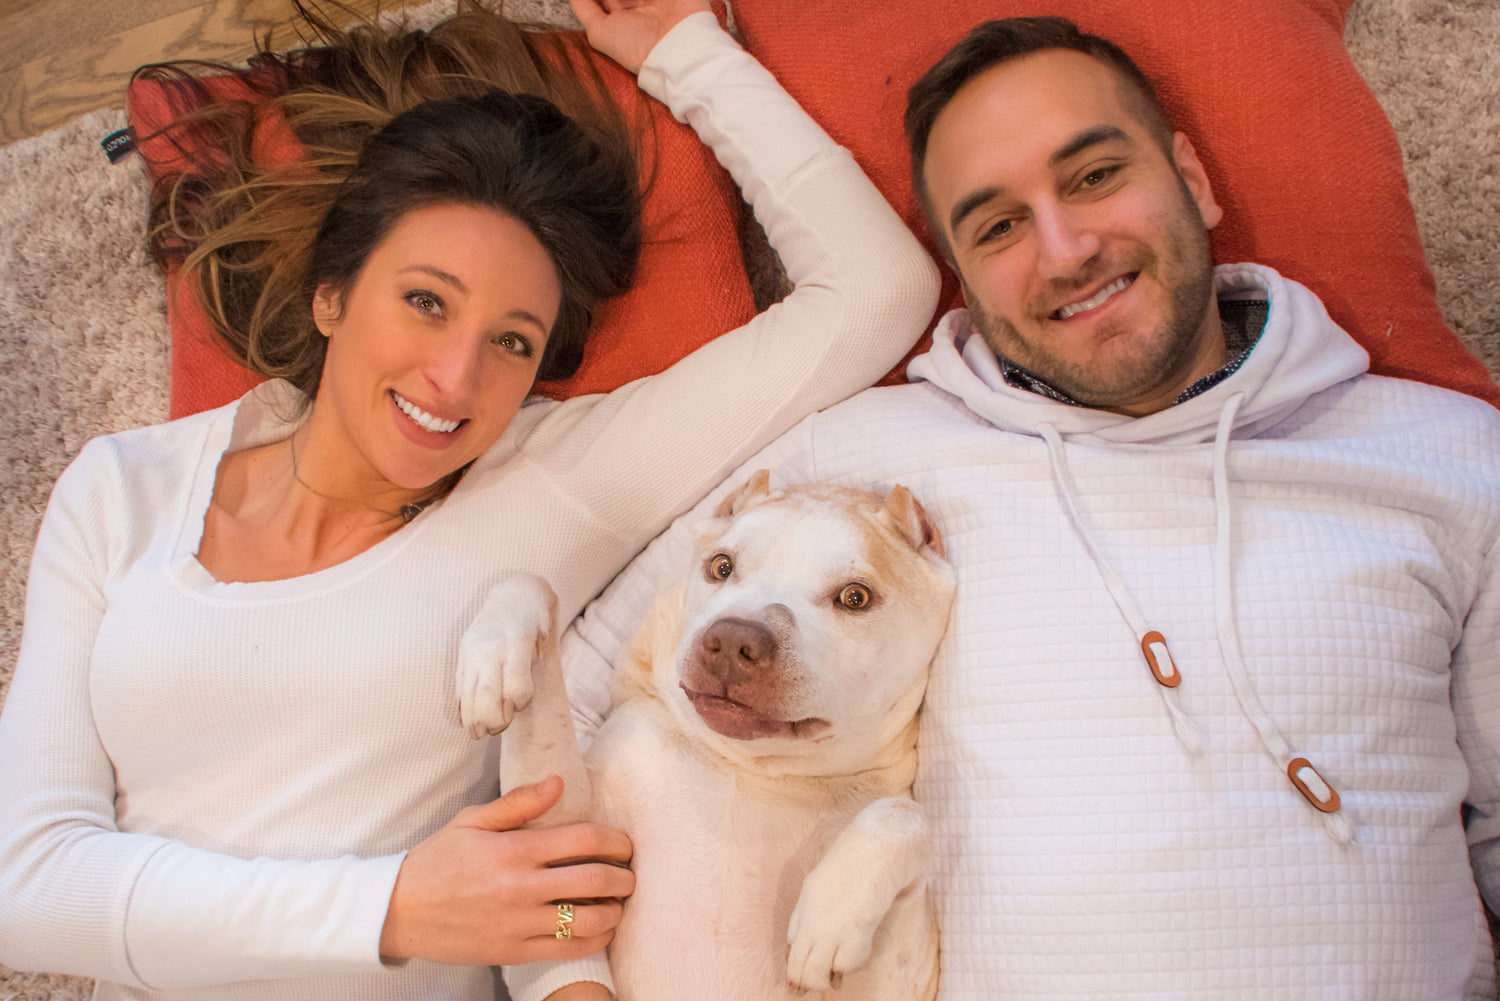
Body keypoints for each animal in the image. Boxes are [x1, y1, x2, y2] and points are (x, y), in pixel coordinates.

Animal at [456, 474, 954, 996]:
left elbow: (904, 814)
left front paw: (831, 915)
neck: (749, 769)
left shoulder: (895, 977)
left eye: (855, 598)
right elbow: (531, 581)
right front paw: (491, 657)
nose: (735, 640)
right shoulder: (563, 828)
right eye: (721, 566)